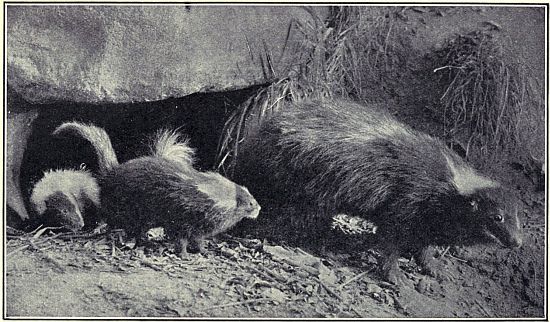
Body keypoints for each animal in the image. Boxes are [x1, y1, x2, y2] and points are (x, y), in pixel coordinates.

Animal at [55, 122, 262, 255]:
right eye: (250, 203)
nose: (259, 208)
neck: (207, 194)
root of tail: (111, 173)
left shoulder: (197, 224)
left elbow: (197, 238)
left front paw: (203, 251)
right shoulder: (183, 216)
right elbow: (181, 238)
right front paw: (183, 254)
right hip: (129, 206)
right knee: (129, 225)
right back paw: (137, 240)